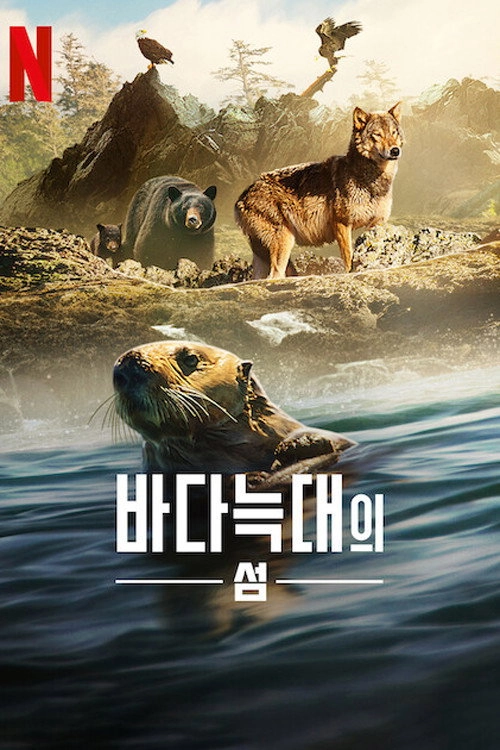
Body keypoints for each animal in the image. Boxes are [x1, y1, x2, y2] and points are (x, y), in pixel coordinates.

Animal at [235, 103, 403, 278]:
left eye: (394, 132)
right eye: (377, 134)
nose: (395, 150)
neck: (370, 180)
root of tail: (242, 197)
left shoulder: (376, 225)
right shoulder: (342, 224)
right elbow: (348, 258)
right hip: (284, 242)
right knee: (275, 276)